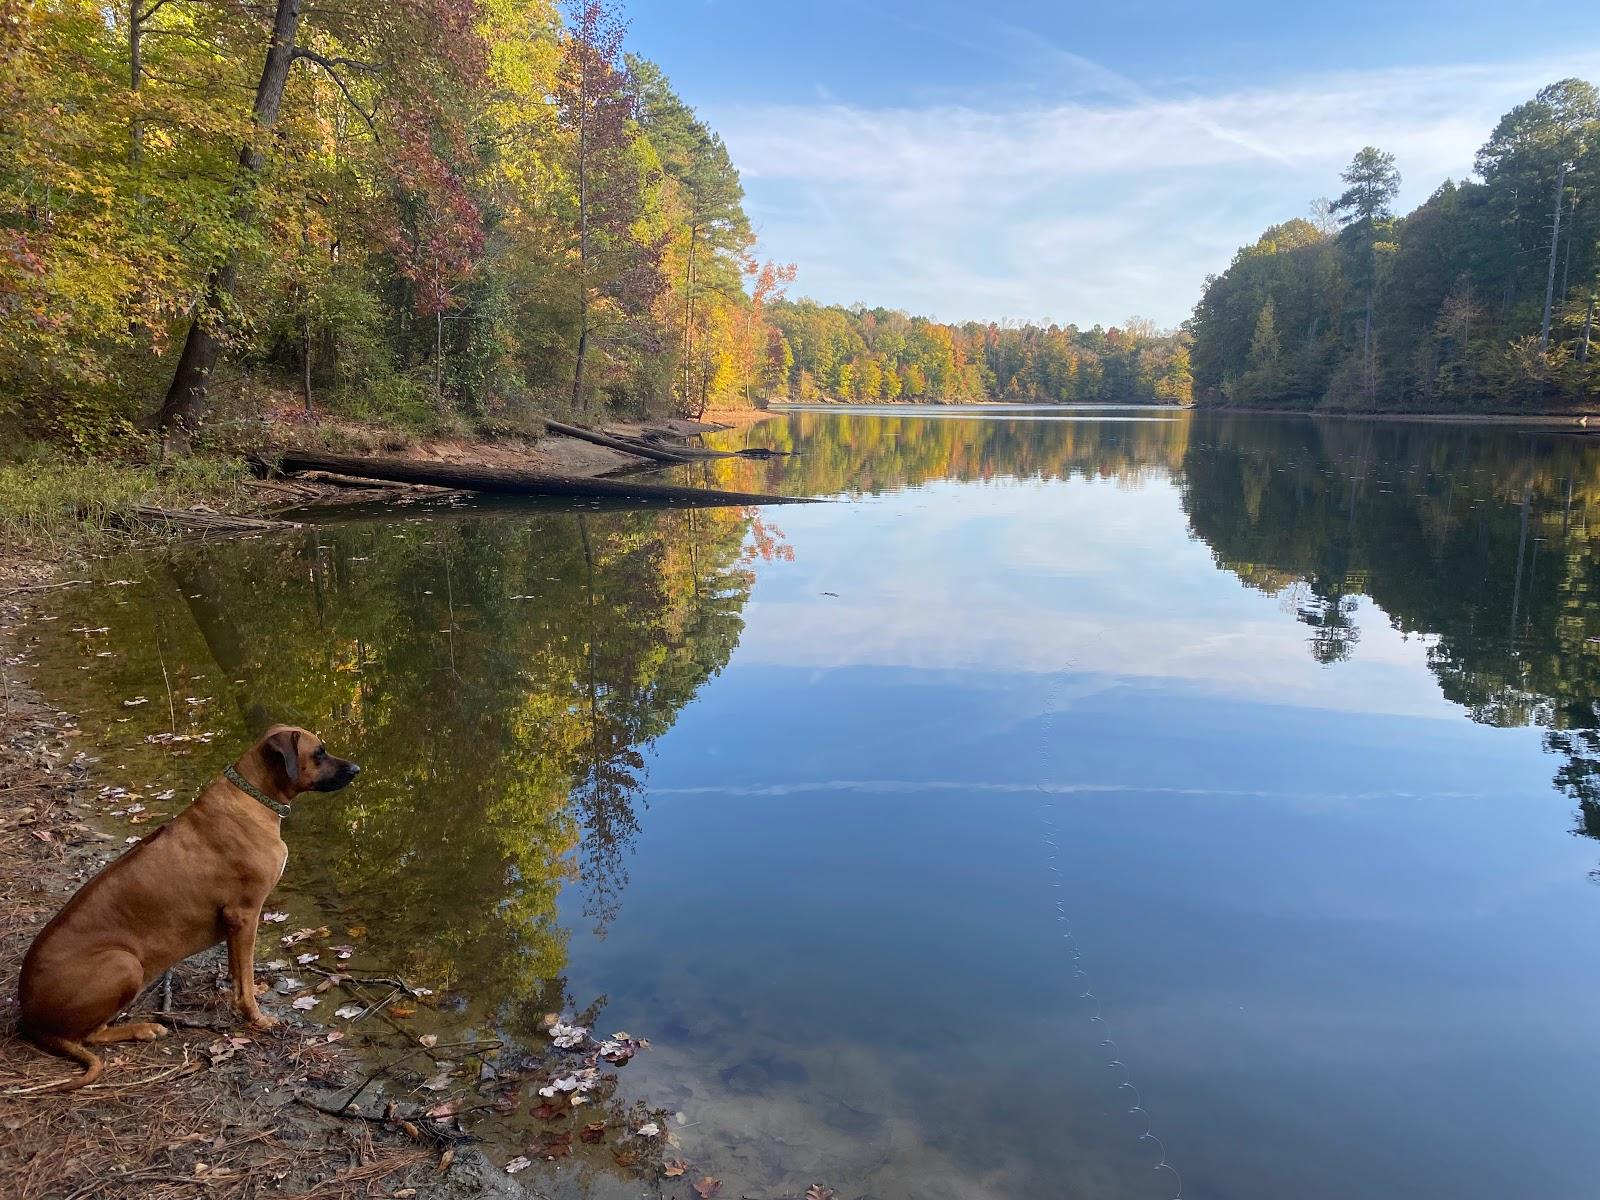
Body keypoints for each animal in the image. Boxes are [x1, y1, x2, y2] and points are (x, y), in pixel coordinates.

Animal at [18, 723, 358, 1088]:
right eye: (319, 753)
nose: (356, 769)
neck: (252, 798)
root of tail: (29, 1015)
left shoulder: (233, 922)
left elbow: (238, 969)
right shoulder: (245, 914)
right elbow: (246, 977)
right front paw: (257, 1018)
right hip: (124, 963)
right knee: (90, 1034)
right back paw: (143, 1028)